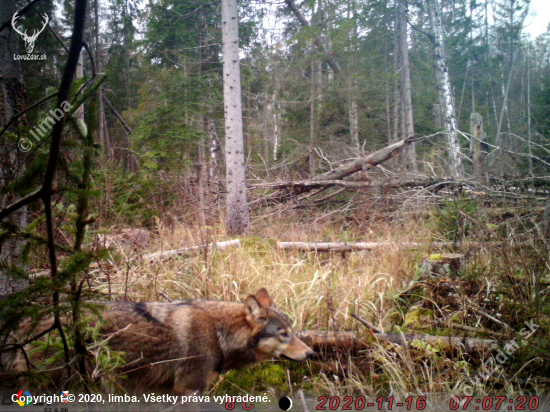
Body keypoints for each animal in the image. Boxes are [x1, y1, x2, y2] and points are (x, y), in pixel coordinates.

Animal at [0, 288, 312, 394]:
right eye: (283, 334)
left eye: (293, 330)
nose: (310, 354)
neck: (218, 332)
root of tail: (25, 322)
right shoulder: (189, 390)